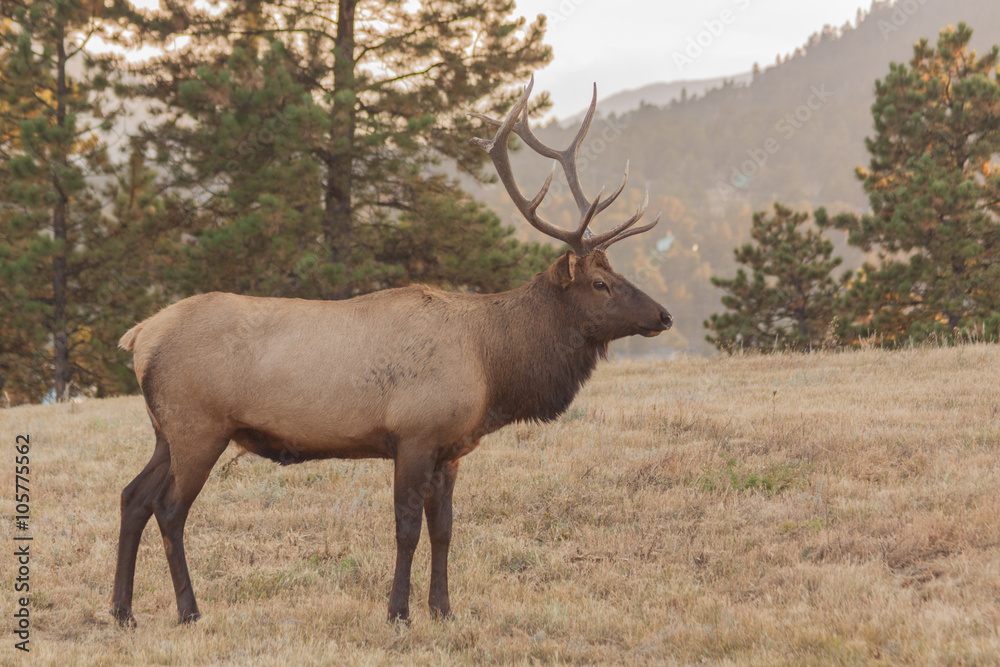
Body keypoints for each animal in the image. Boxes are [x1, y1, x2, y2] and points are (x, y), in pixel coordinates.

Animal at [111, 78, 672, 628]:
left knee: (133, 496)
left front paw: (443, 609)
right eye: (600, 283)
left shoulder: (451, 448)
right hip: (199, 426)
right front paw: (398, 612)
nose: (665, 315)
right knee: (169, 509)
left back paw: (122, 611)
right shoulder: (414, 434)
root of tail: (139, 336)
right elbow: (406, 529)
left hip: (166, 430)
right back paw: (188, 611)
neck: (492, 368)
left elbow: (444, 529)